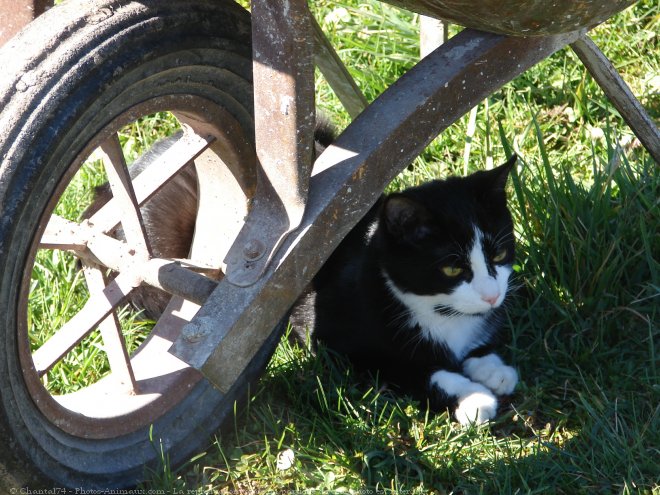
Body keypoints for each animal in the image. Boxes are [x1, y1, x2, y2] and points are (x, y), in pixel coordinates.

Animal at [292, 156, 520, 426]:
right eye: (452, 269)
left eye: (499, 254)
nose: (492, 296)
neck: (436, 311)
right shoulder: (331, 337)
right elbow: (409, 370)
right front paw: (473, 397)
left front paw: (493, 368)